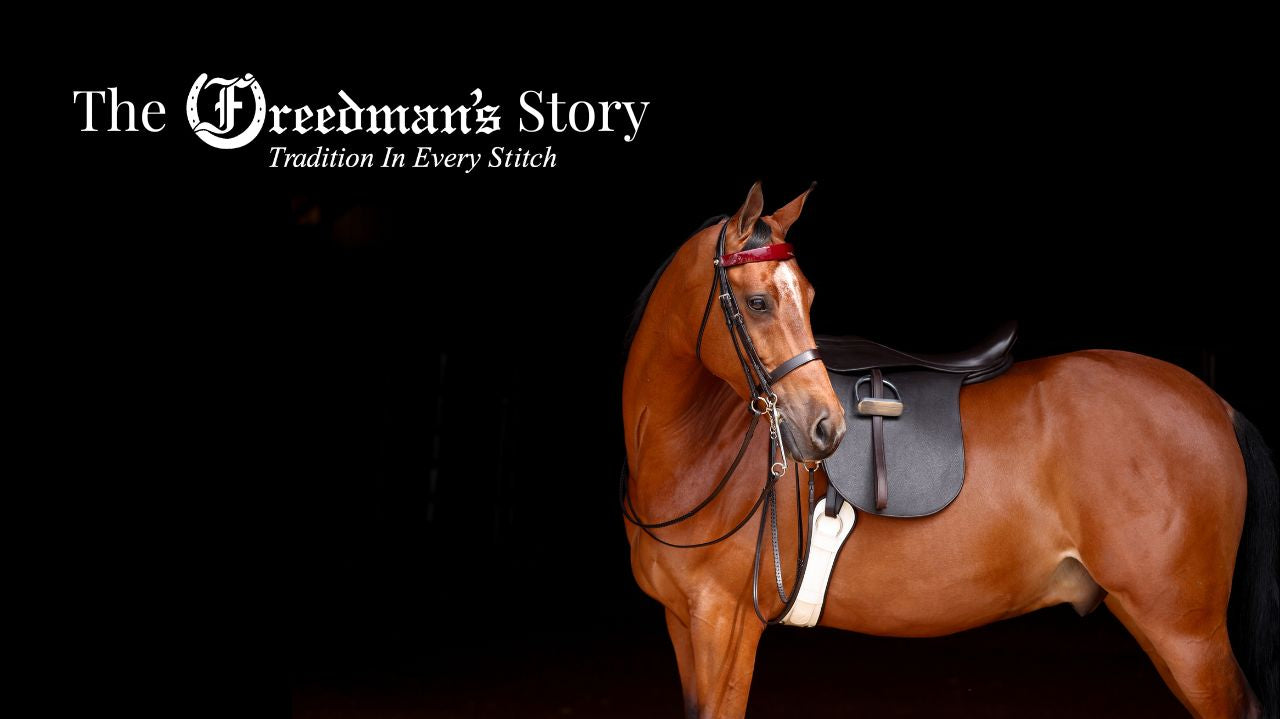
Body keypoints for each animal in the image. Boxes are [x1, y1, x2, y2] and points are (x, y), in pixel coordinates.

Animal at [621, 182, 1278, 719]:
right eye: (758, 302)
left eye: (805, 297)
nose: (826, 428)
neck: (695, 448)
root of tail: (1214, 403)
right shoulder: (684, 623)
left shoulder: (725, 624)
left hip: (1183, 631)